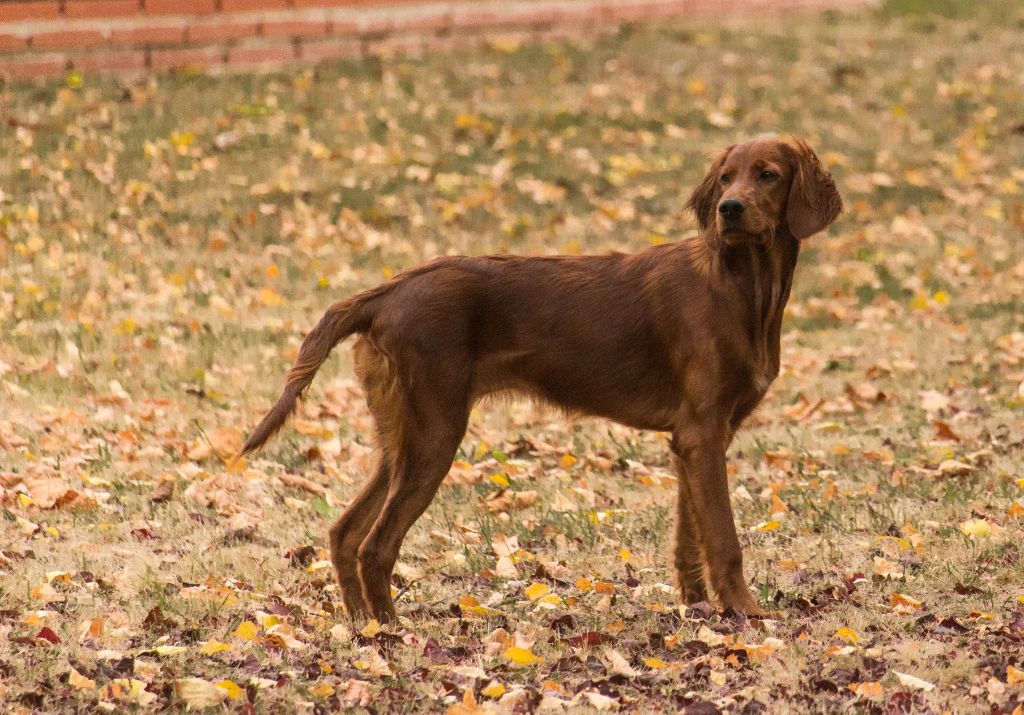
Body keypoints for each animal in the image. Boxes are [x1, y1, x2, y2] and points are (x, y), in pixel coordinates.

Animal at [237, 136, 839, 622]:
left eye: (766, 174)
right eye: (725, 177)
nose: (727, 209)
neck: (740, 287)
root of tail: (385, 292)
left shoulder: (698, 437)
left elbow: (690, 535)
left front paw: (696, 608)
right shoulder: (701, 432)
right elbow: (725, 538)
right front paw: (746, 614)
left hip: (400, 435)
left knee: (345, 533)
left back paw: (362, 627)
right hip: (434, 433)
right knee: (376, 545)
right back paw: (391, 633)